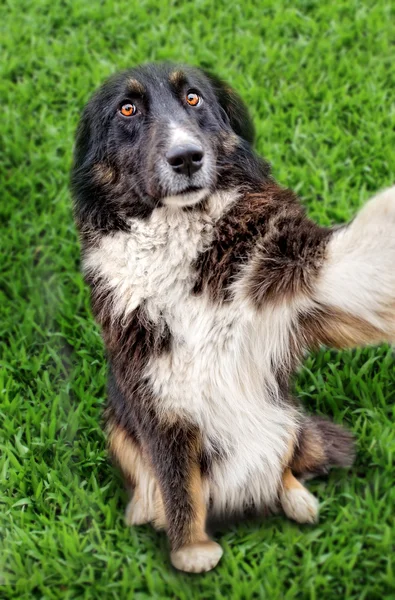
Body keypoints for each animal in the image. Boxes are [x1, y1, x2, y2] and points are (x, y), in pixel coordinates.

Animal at [72, 63, 395, 576]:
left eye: (193, 97)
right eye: (127, 109)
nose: (186, 158)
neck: (179, 235)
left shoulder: (301, 284)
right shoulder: (159, 396)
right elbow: (177, 482)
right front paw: (192, 551)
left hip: (286, 413)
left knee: (283, 459)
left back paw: (297, 499)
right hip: (114, 423)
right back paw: (142, 507)